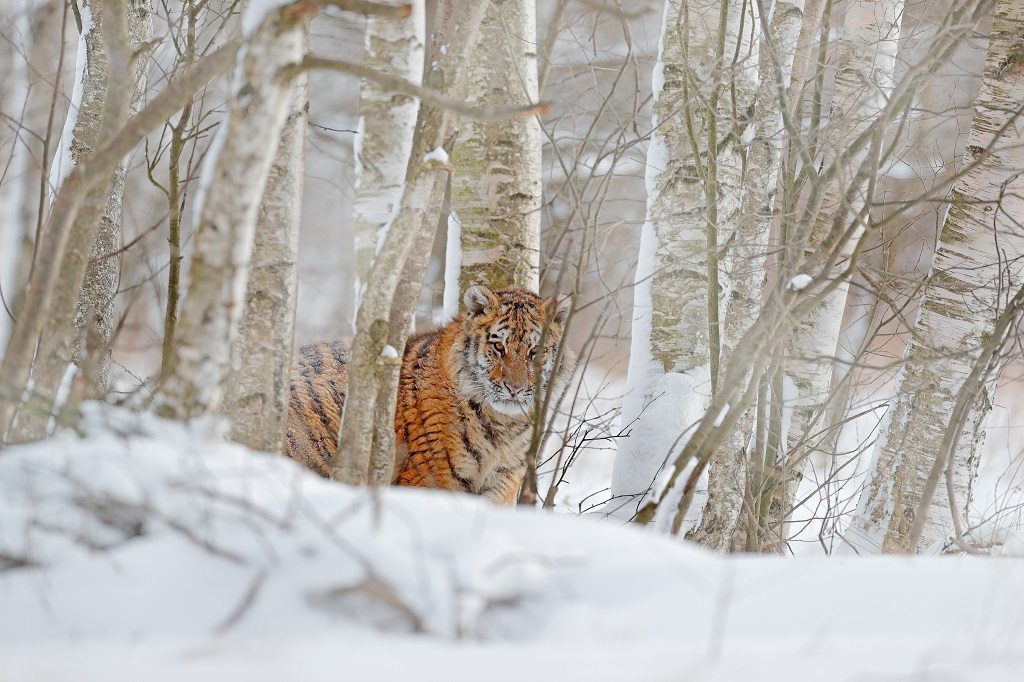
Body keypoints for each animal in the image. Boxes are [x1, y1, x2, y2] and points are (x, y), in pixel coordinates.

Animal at [286, 284, 577, 501]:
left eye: (534, 351)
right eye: (498, 347)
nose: (514, 388)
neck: (503, 426)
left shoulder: (503, 481)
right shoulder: (431, 478)